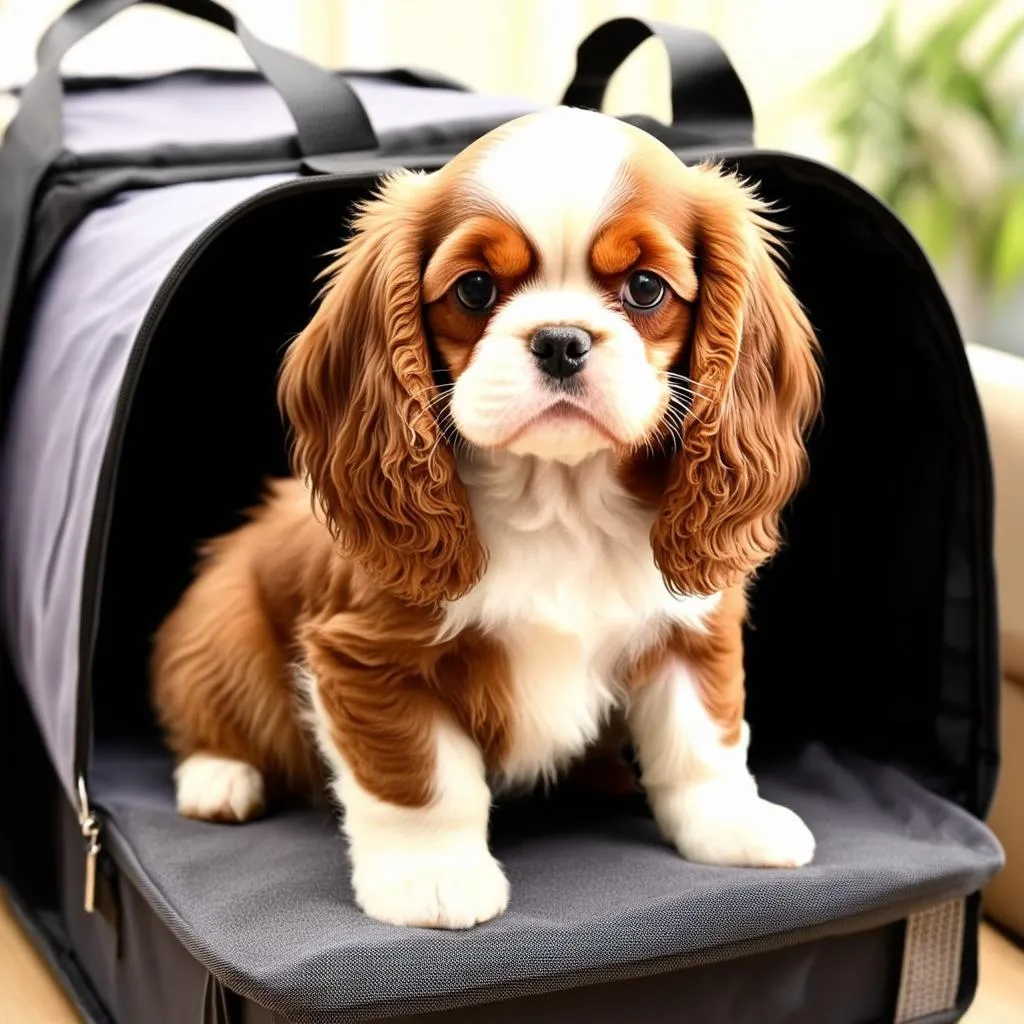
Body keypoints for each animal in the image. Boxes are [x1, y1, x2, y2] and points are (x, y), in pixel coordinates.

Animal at [153, 108, 823, 933]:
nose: (561, 340)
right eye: (474, 290)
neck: (561, 496)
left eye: (645, 288)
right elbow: (421, 778)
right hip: (226, 623)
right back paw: (218, 778)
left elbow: (705, 737)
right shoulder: (370, 657)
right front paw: (432, 875)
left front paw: (732, 824)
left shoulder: (692, 629)